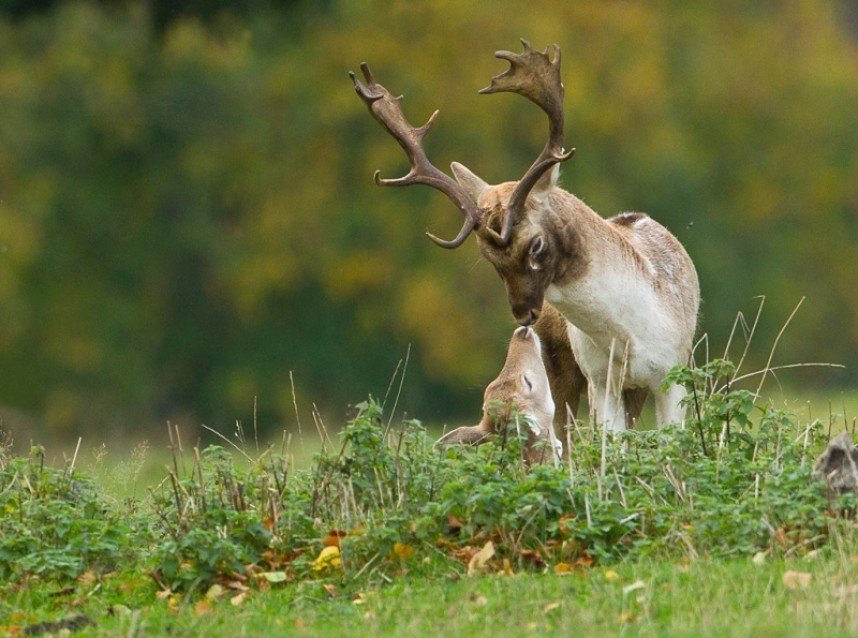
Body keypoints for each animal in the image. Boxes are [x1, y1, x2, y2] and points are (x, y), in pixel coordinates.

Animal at [352, 37, 700, 432]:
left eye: (536, 244)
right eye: (488, 257)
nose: (523, 313)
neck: (629, 335)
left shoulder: (674, 372)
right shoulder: (600, 379)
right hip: (558, 369)